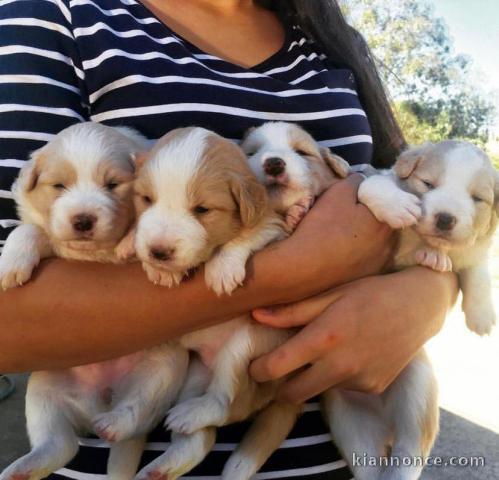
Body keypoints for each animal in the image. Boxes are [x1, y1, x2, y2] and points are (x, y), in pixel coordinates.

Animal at [0, 122, 189, 480]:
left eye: (112, 184)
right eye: (59, 185)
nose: (83, 220)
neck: (96, 253)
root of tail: (98, 404)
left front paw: (150, 257)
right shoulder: (51, 236)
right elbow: (30, 230)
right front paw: (11, 263)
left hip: (165, 368)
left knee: (135, 413)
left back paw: (114, 425)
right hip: (44, 385)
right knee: (60, 443)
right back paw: (23, 467)